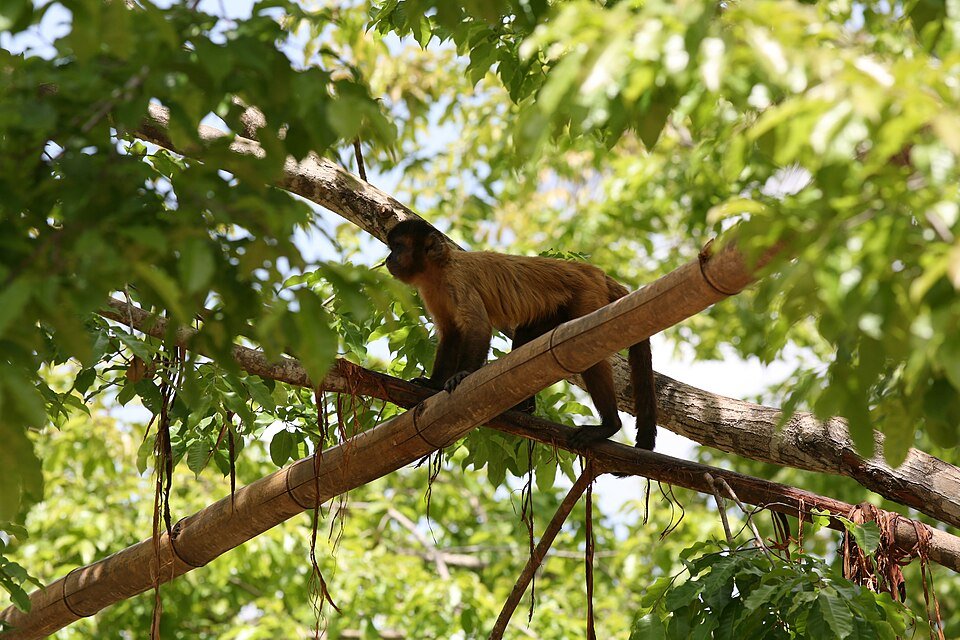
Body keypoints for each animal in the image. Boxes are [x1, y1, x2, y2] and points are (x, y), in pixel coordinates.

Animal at [385, 218, 656, 450]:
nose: (389, 257)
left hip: (587, 294)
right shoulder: (431, 290)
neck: (440, 268)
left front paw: (463, 375)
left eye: (398, 247)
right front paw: (433, 384)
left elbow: (478, 326)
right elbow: (451, 334)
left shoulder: (457, 280)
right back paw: (524, 407)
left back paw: (609, 426)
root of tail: (593, 271)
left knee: (586, 348)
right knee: (527, 336)